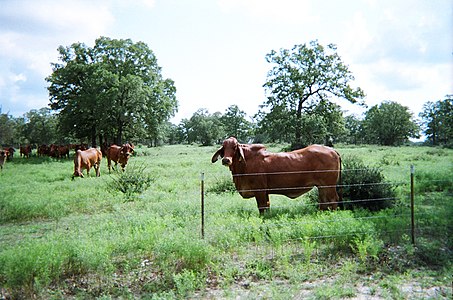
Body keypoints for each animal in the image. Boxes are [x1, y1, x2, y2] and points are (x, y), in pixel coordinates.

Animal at [210, 137, 340, 214]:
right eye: (224, 148)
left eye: (235, 147)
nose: (226, 160)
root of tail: (332, 150)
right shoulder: (265, 192)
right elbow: (266, 207)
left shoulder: (260, 191)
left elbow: (262, 207)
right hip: (322, 187)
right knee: (324, 201)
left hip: (329, 186)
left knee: (333, 200)